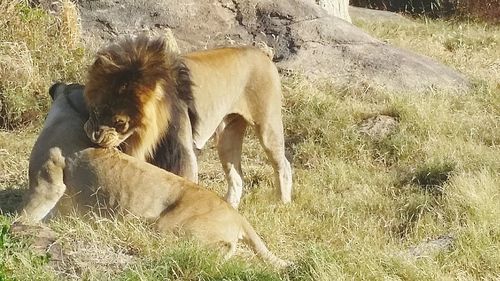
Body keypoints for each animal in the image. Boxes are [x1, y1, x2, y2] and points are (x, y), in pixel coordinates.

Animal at [83, 35, 292, 207]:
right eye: (95, 110)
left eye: (120, 122)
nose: (95, 135)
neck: (146, 134)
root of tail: (263, 54)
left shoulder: (183, 151)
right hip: (227, 136)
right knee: (236, 176)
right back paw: (230, 208)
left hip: (267, 126)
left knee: (283, 165)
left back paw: (281, 204)